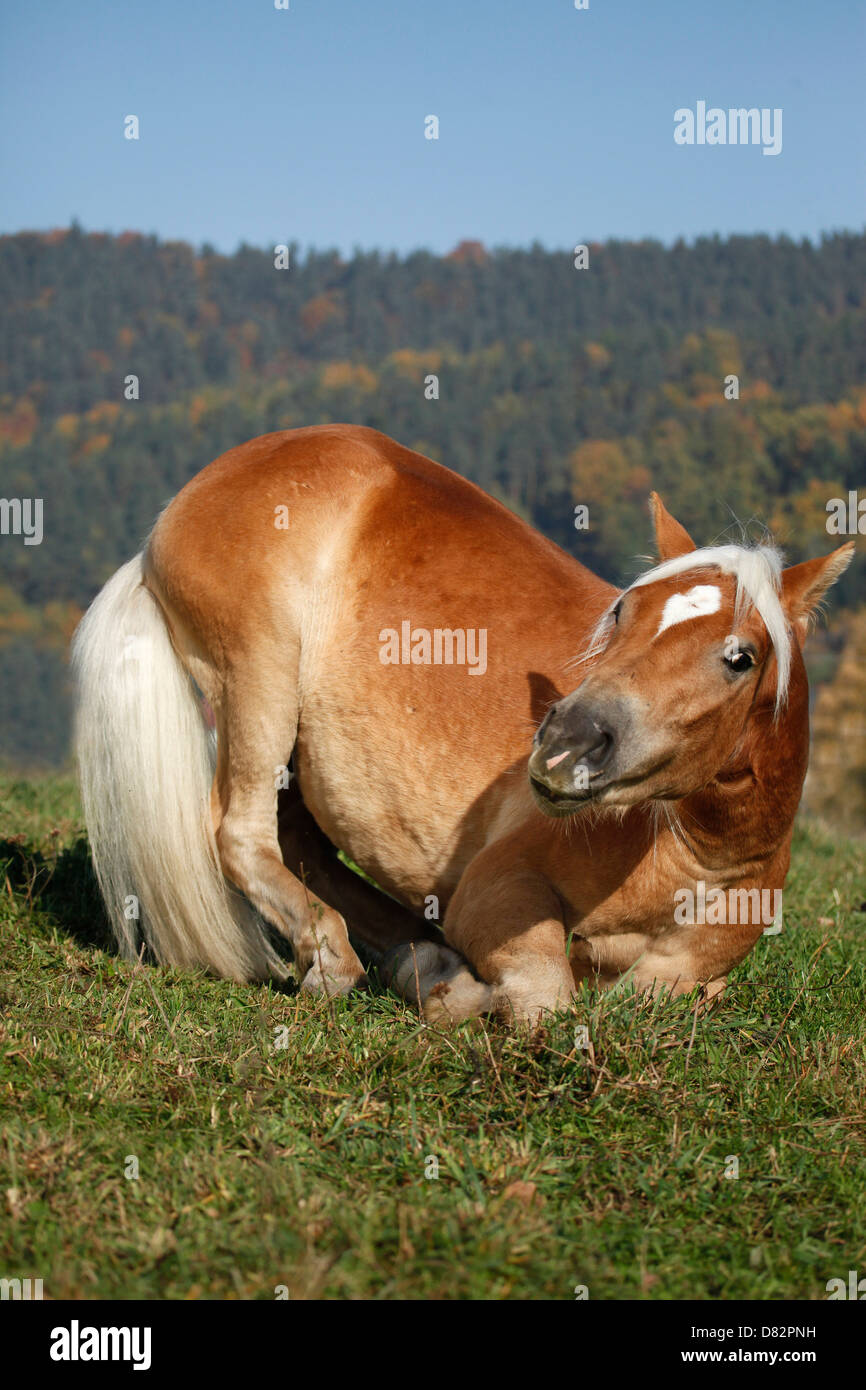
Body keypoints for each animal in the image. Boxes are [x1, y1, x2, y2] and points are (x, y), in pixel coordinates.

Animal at [72, 424, 853, 1023]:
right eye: (622, 613)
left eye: (739, 658)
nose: (565, 746)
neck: (691, 856)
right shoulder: (498, 895)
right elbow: (546, 1000)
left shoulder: (686, 983)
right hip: (257, 680)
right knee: (241, 832)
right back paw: (353, 962)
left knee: (304, 846)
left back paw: (418, 960)